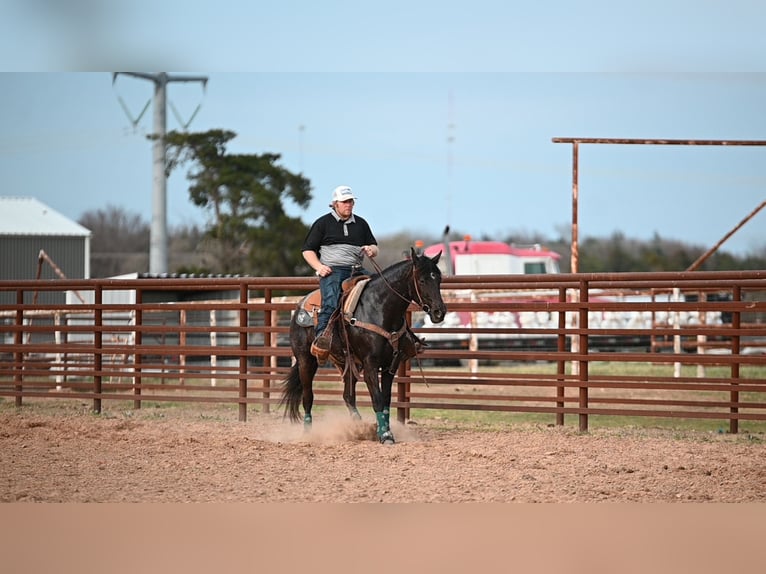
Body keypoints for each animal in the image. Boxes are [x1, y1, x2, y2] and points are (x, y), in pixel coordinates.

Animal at [280, 247, 447, 444]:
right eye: (422, 280)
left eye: (439, 278)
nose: (439, 312)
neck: (379, 309)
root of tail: (301, 304)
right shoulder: (370, 365)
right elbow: (377, 399)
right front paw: (385, 435)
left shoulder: (390, 366)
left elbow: (386, 400)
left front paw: (383, 431)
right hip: (306, 360)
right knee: (308, 397)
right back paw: (308, 434)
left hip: (347, 363)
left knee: (348, 396)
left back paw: (358, 427)